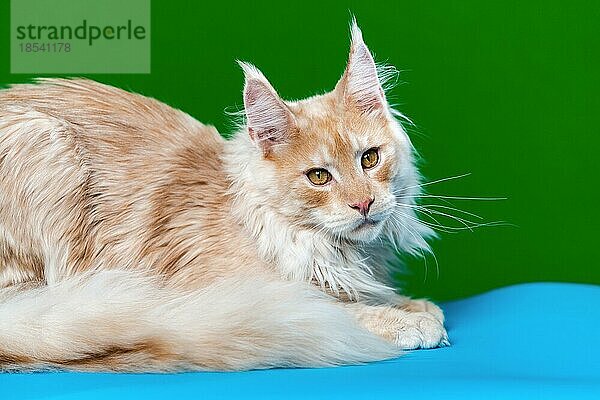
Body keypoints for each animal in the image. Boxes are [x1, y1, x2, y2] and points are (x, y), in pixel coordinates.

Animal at [0, 21, 448, 372]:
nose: (364, 204)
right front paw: (405, 320)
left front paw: (412, 305)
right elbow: (334, 307)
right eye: (319, 177)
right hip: (46, 145)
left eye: (370, 159)